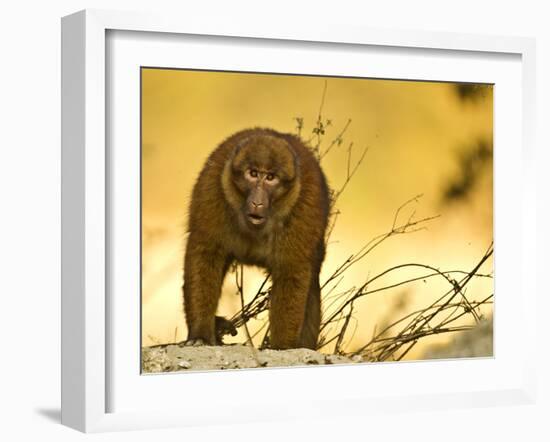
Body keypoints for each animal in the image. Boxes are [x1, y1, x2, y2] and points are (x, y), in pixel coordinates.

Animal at [184, 127, 332, 348]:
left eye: (271, 177)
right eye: (253, 174)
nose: (257, 202)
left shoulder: (305, 205)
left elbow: (292, 271)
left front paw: (282, 347)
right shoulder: (213, 188)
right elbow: (205, 252)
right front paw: (200, 334)